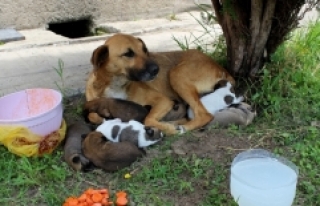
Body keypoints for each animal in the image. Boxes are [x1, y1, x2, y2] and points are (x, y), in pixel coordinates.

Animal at [85, 33, 235, 134]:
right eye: (128, 54)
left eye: (144, 50)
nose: (156, 69)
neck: (116, 84)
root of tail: (220, 67)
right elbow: (92, 116)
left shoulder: (163, 100)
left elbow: (147, 119)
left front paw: (168, 128)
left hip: (176, 74)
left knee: (204, 115)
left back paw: (181, 127)